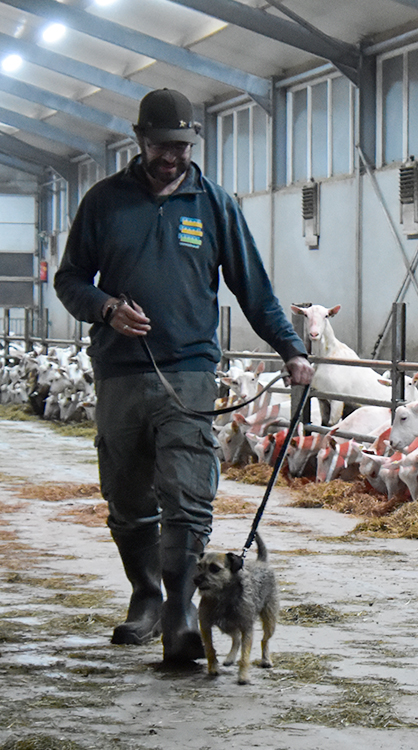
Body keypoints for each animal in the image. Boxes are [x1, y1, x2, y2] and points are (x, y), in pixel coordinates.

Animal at [193, 532, 280, 684]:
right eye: (199, 566)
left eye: (215, 568)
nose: (196, 580)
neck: (222, 597)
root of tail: (262, 562)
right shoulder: (205, 626)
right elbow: (210, 648)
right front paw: (213, 668)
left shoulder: (247, 628)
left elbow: (245, 655)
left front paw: (243, 676)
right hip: (226, 625)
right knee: (236, 638)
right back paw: (230, 658)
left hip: (269, 622)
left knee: (264, 640)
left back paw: (265, 660)